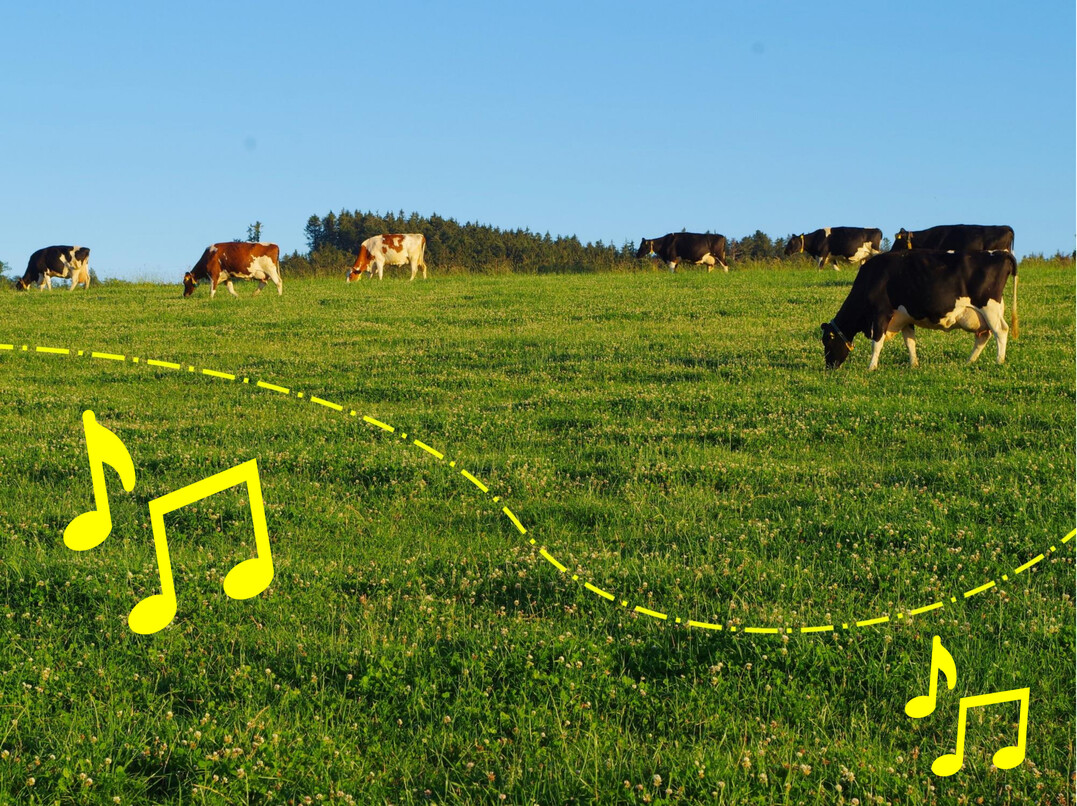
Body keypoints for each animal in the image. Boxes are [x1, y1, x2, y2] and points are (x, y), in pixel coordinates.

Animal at [821, 249, 1018, 370]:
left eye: (827, 342)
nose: (829, 367)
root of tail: (1000, 253)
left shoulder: (880, 314)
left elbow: (876, 343)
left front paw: (871, 367)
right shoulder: (905, 317)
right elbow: (910, 342)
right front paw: (914, 364)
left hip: (989, 307)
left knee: (1001, 331)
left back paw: (999, 361)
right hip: (985, 314)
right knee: (984, 336)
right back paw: (969, 362)